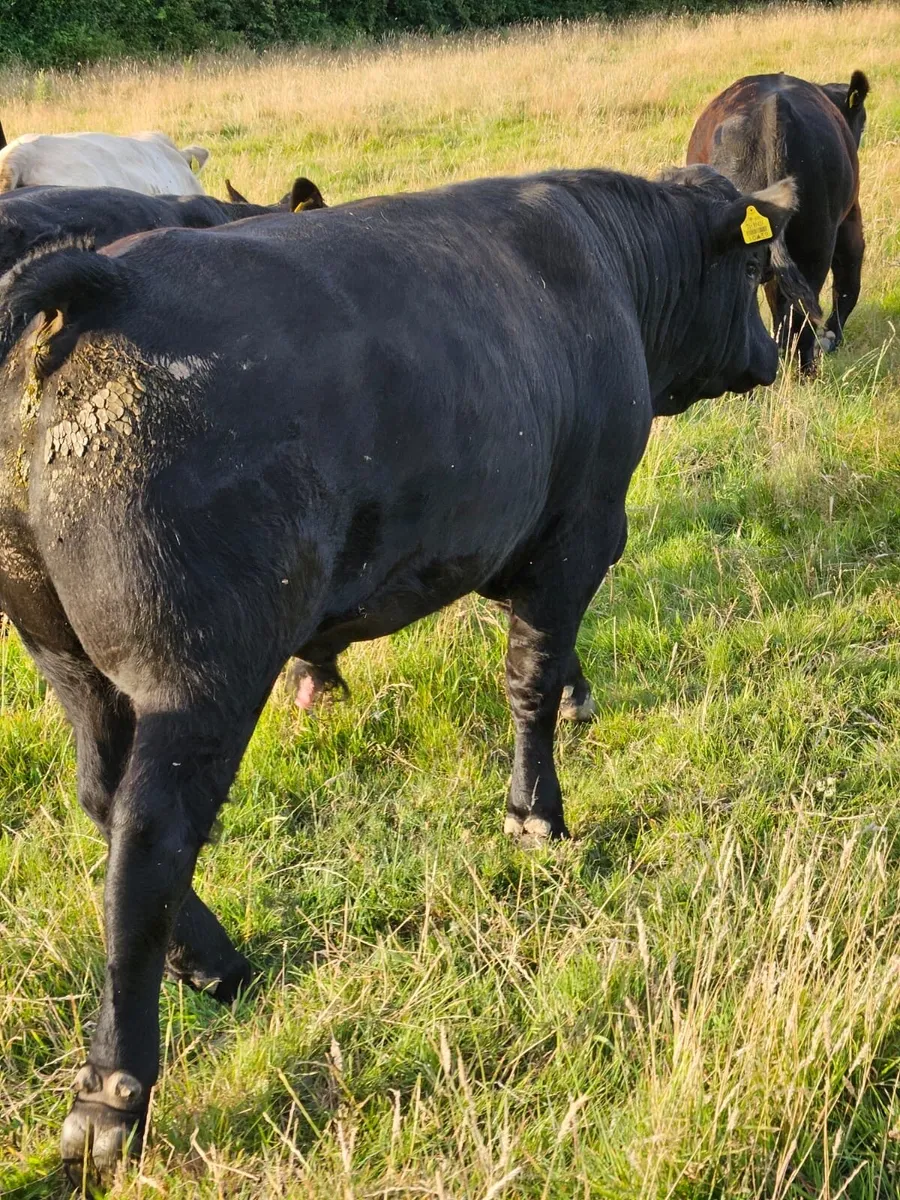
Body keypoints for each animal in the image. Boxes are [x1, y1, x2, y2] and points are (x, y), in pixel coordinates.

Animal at [0, 163, 794, 1185]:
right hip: (198, 673)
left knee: (103, 798)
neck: (604, 260)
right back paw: (115, 1093)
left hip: (65, 656)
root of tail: (105, 282)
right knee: (147, 845)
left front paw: (578, 702)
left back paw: (214, 962)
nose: (771, 356)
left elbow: (548, 659)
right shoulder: (581, 526)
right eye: (756, 267)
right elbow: (528, 676)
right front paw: (536, 812)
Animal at [687, 70, 870, 375]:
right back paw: (806, 370)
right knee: (802, 314)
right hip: (818, 242)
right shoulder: (850, 218)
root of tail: (774, 108)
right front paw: (830, 339)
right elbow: (848, 284)